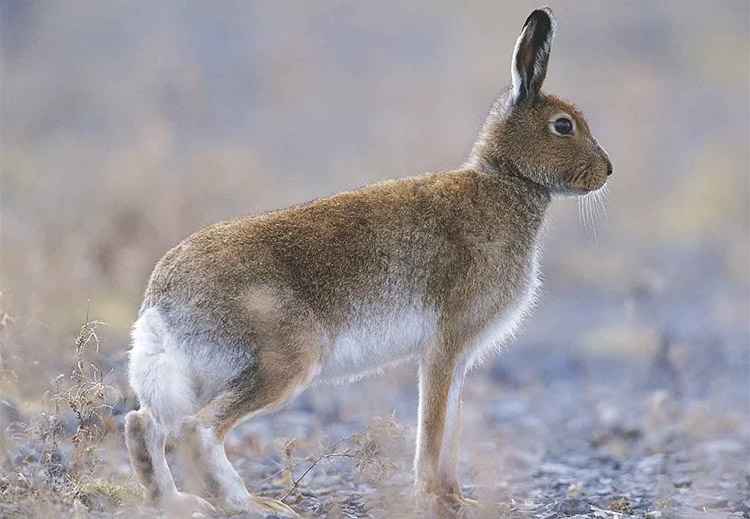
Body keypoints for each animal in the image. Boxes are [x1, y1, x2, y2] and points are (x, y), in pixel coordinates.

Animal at [124, 6, 611, 517]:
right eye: (564, 125)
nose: (607, 170)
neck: (508, 179)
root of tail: (161, 304)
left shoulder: (457, 356)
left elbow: (452, 429)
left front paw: (460, 499)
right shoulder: (445, 344)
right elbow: (434, 429)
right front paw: (435, 500)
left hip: (194, 373)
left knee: (144, 423)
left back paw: (174, 500)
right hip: (285, 358)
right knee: (197, 429)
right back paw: (253, 504)